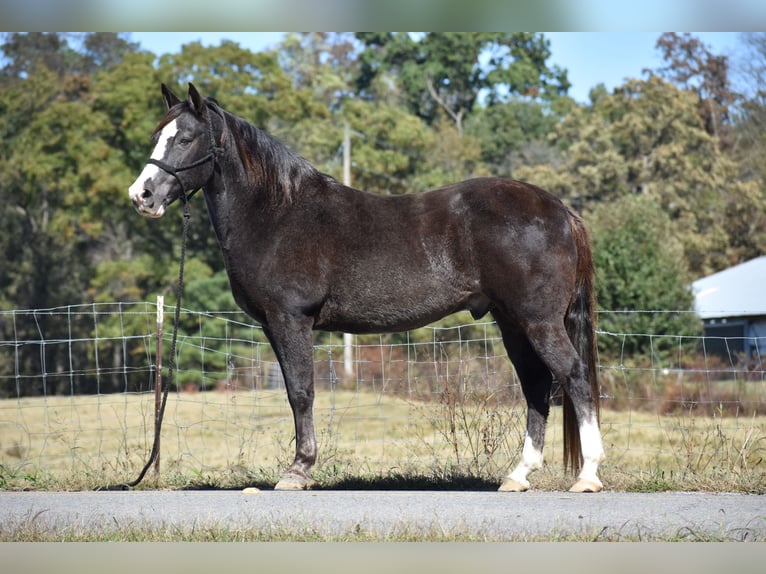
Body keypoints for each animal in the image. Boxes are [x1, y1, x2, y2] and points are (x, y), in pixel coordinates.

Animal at [129, 83, 605, 492]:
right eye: (156, 136)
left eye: (185, 138)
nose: (142, 195)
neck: (277, 213)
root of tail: (561, 210)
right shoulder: (273, 326)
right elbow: (293, 393)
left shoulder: (291, 320)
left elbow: (302, 392)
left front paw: (298, 471)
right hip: (512, 323)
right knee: (536, 386)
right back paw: (518, 475)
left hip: (538, 321)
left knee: (574, 376)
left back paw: (587, 476)